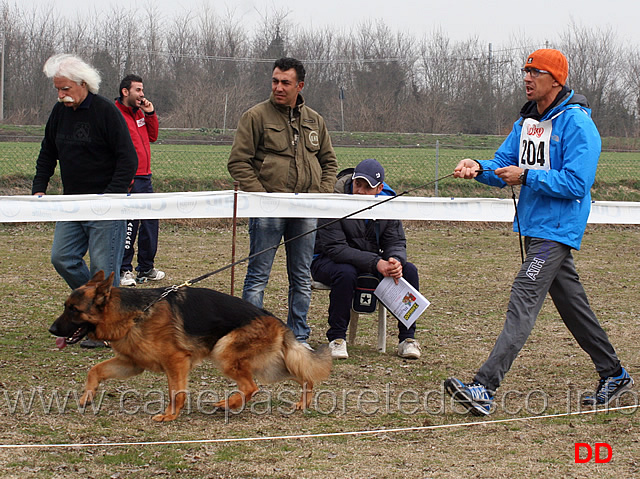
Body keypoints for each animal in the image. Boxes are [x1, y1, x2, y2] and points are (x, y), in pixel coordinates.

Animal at [50, 272, 332, 422]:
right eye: (66, 306)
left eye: (74, 310)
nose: (52, 330)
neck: (135, 313)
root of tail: (274, 319)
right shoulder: (132, 364)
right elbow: (95, 370)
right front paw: (87, 396)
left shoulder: (176, 361)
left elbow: (177, 392)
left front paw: (169, 416)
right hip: (269, 365)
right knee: (304, 377)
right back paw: (302, 403)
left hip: (224, 352)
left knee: (252, 387)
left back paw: (228, 404)